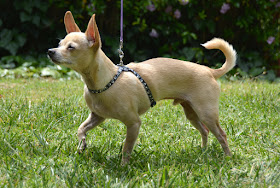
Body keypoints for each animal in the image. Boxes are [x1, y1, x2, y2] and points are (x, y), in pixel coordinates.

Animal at [47, 11, 236, 164]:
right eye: (59, 44)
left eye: (71, 47)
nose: (50, 51)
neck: (105, 82)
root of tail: (210, 71)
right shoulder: (97, 116)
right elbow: (81, 128)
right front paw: (81, 145)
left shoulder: (133, 124)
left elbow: (126, 148)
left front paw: (123, 167)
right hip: (191, 112)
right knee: (205, 131)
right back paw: (203, 151)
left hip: (206, 113)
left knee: (221, 134)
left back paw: (228, 158)